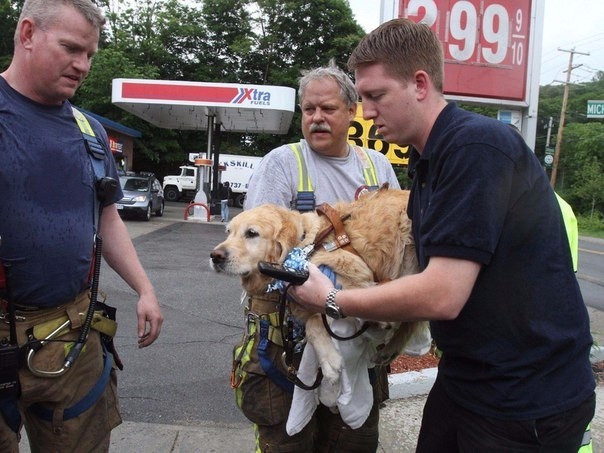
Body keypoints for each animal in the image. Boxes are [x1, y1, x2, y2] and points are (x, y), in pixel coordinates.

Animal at [210, 185, 422, 390]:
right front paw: (329, 360)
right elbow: (313, 321)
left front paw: (331, 361)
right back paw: (389, 351)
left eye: (252, 233)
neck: (306, 244)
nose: (215, 256)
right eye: (229, 232)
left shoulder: (357, 277)